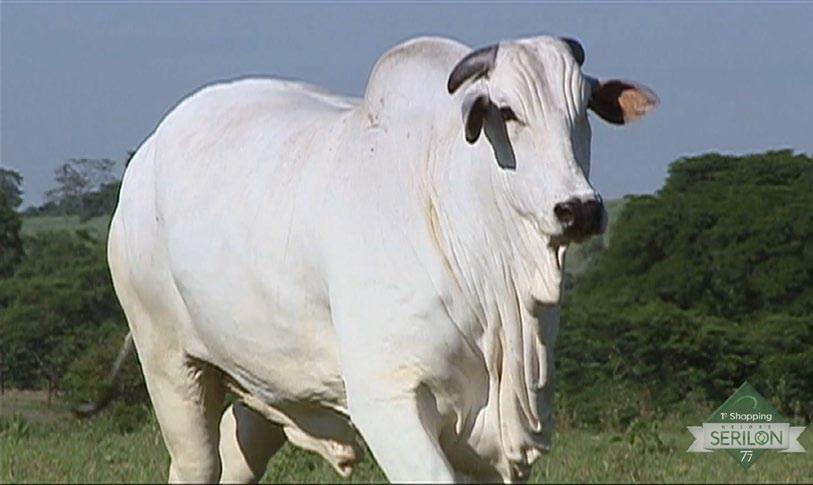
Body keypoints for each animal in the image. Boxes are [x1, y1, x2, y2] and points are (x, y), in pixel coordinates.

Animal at [109, 34, 652, 480]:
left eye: (583, 111)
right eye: (509, 112)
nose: (579, 210)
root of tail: (145, 159)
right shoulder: (388, 399)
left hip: (266, 379)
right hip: (168, 361)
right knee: (196, 462)